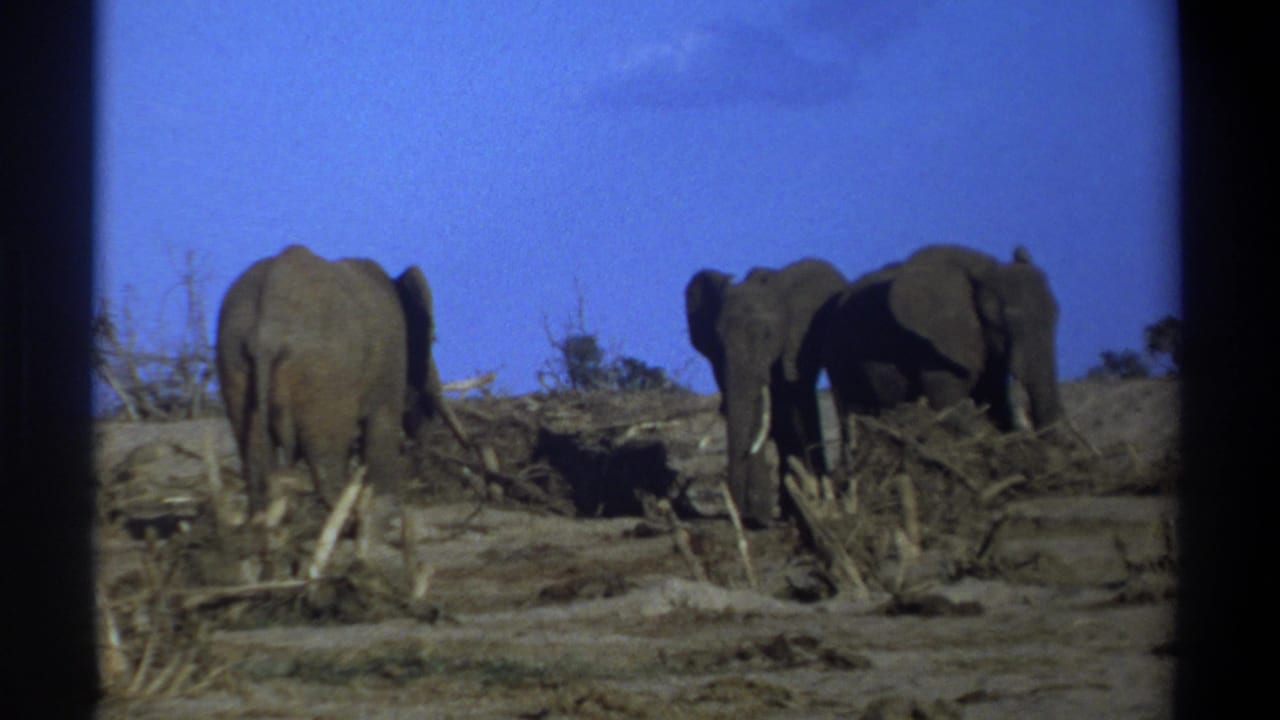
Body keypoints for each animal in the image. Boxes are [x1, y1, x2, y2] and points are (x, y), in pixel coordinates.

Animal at [215, 244, 469, 561]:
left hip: (233, 356)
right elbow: (382, 427)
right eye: (433, 339)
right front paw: (385, 516)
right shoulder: (389, 362)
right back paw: (347, 528)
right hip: (325, 375)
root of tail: (268, 331)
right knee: (325, 462)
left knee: (256, 458)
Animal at [823, 244, 1065, 464]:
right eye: (1002, 325)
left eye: (1055, 316)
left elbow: (993, 399)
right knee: (853, 413)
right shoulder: (935, 342)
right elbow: (946, 397)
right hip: (840, 356)